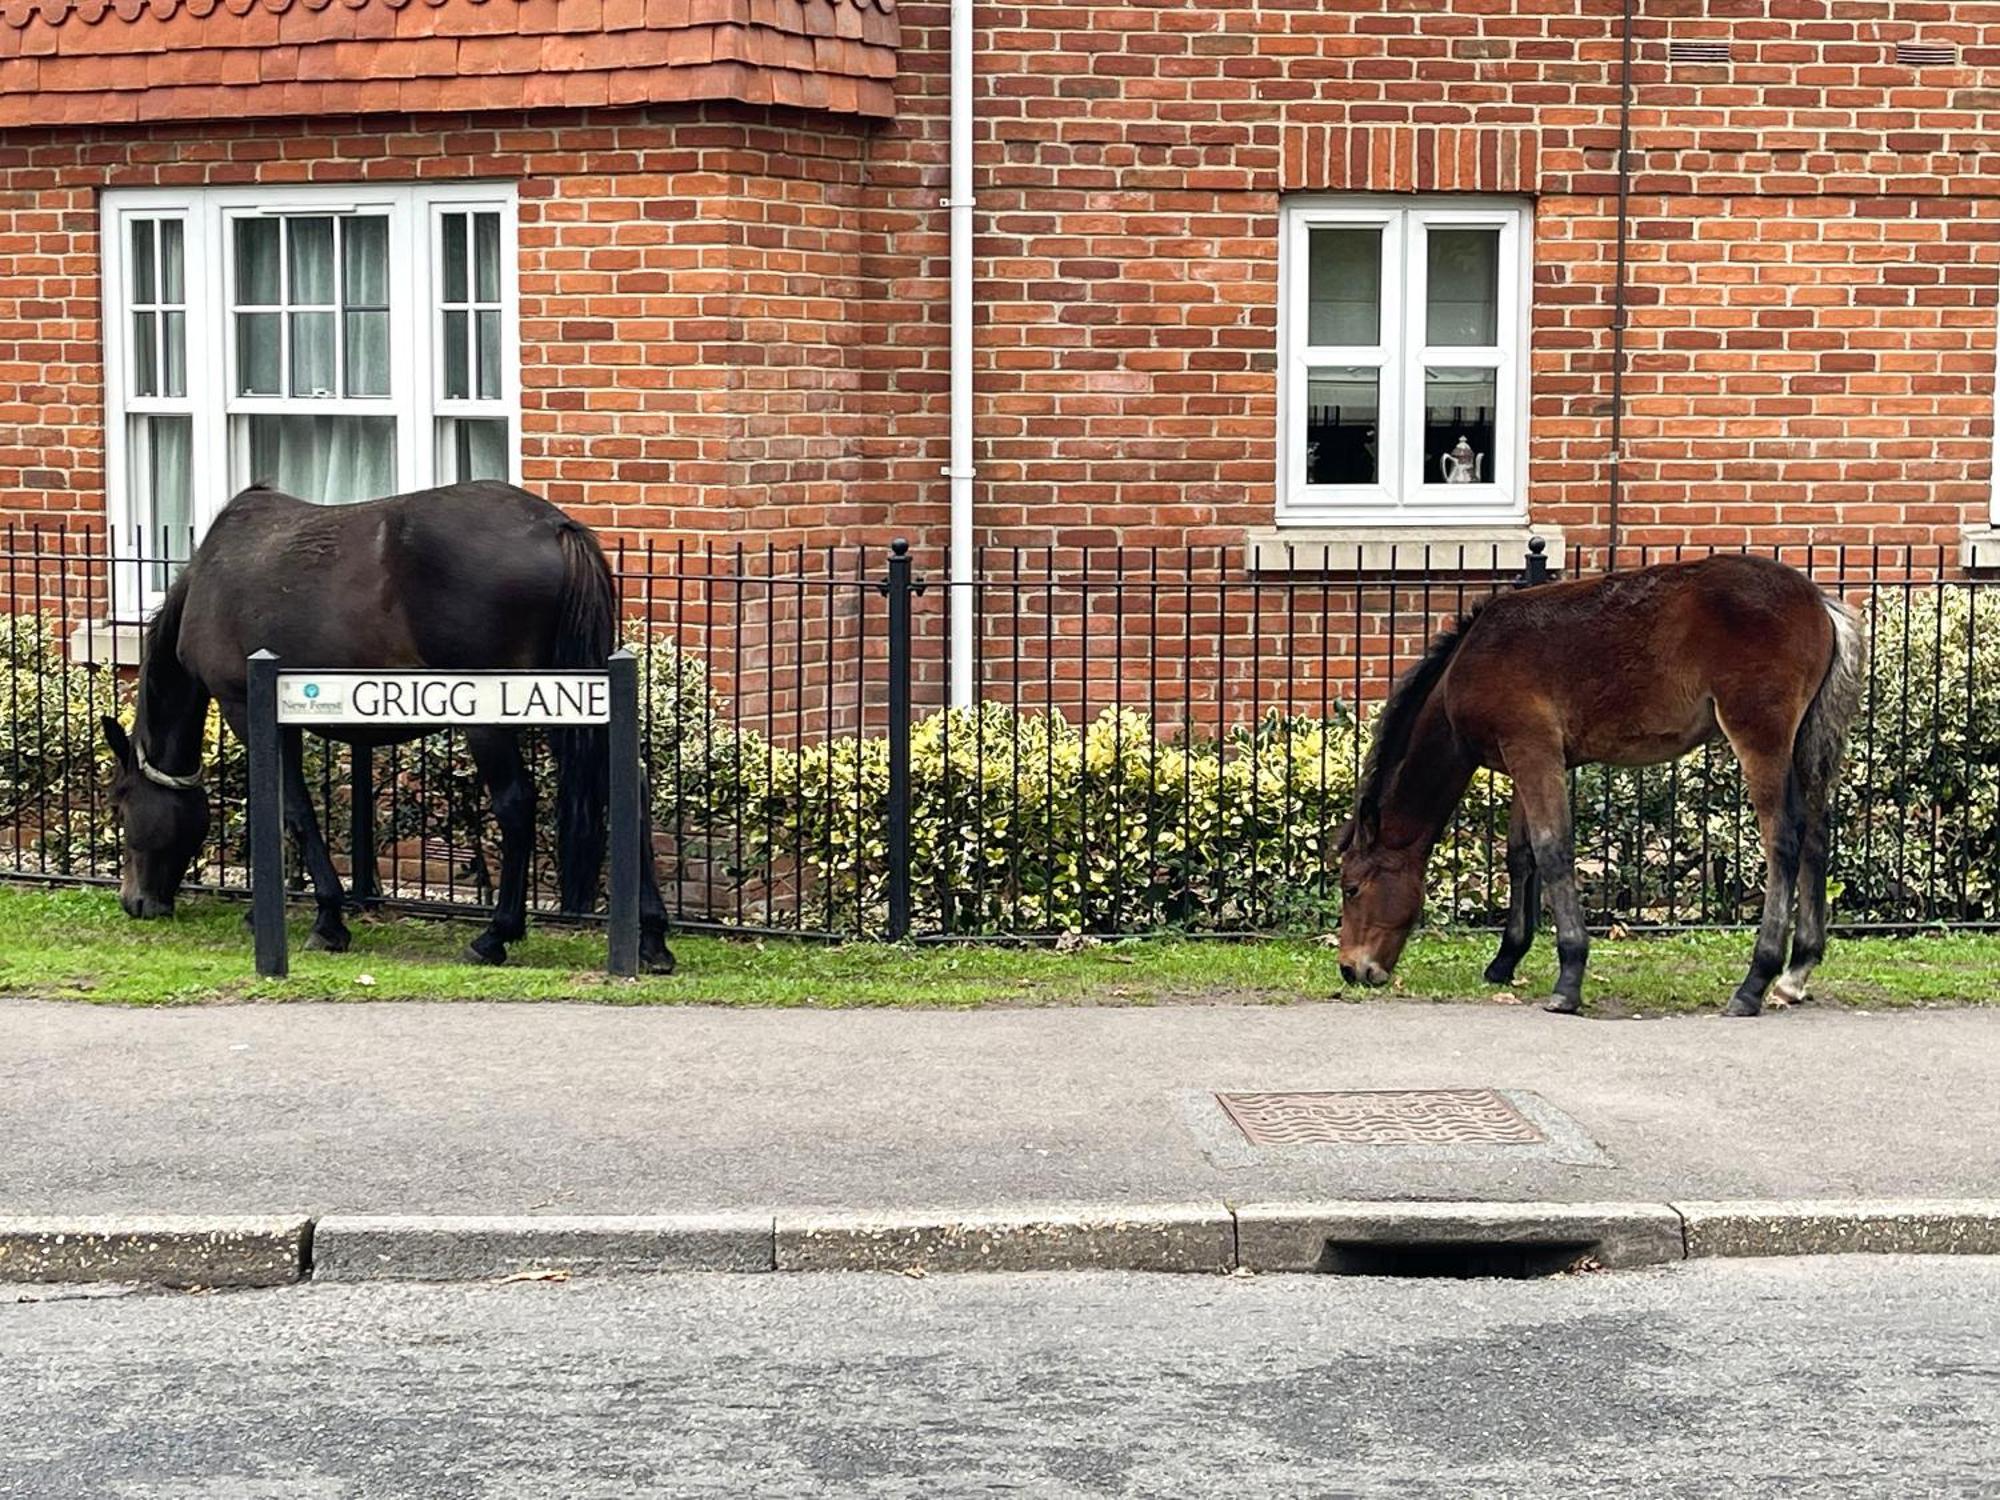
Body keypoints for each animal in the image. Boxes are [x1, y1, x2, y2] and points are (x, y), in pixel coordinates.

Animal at [99, 478, 680, 976]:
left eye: (122, 806)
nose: (135, 902)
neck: (211, 575)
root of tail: (554, 525)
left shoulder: (245, 707)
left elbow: (291, 810)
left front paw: (327, 920)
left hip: (496, 715)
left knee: (516, 803)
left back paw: (495, 935)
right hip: (572, 699)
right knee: (630, 786)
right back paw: (653, 940)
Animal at [1336, 556, 1864, 1024]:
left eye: (1351, 887)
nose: (1351, 969)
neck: (1468, 664)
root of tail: (1819, 602)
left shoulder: (1532, 751)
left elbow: (1552, 851)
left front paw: (1568, 977)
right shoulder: (1528, 758)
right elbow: (1521, 856)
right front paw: (1505, 960)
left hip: (1760, 736)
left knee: (1784, 840)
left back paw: (1754, 981)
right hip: (1805, 742)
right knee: (1816, 835)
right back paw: (1795, 974)